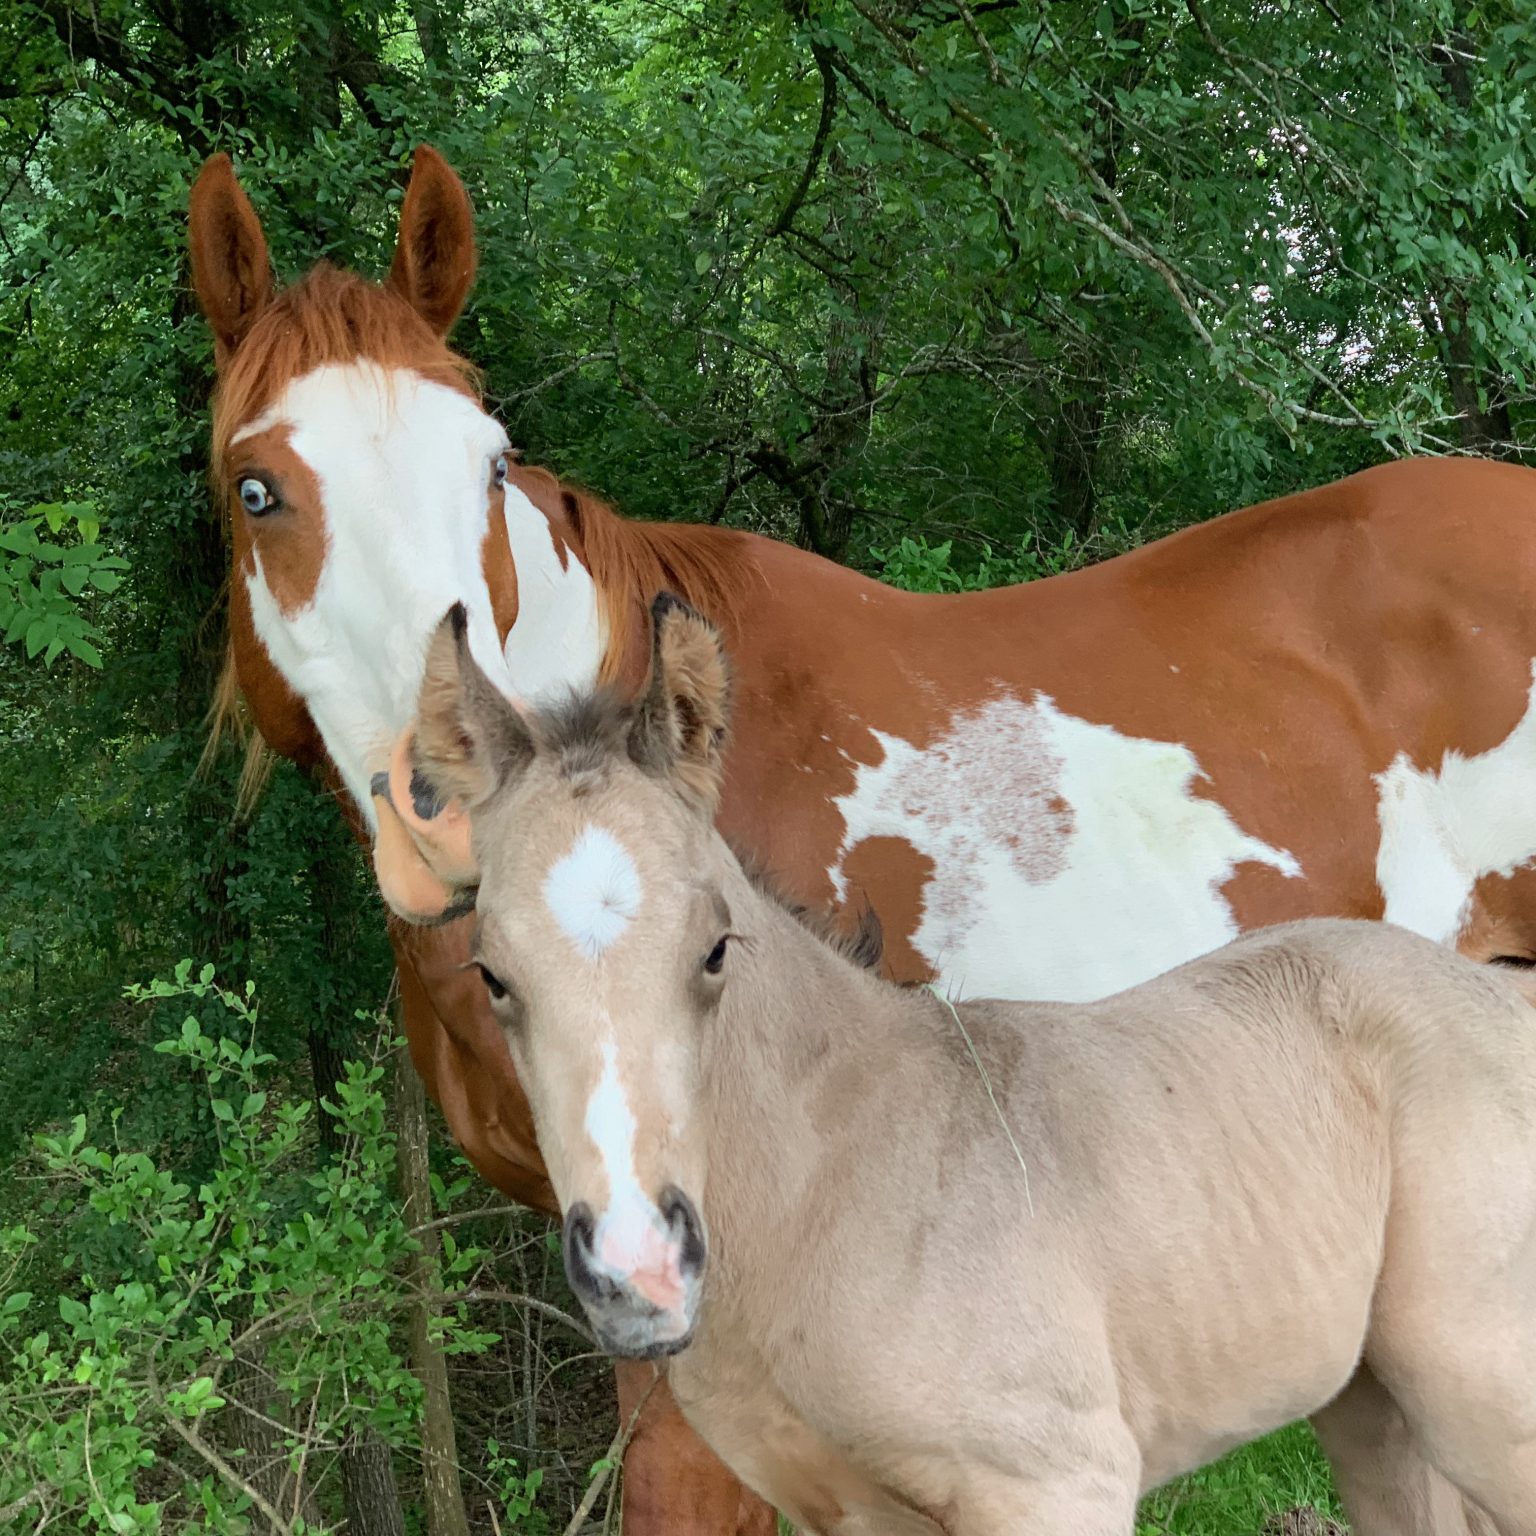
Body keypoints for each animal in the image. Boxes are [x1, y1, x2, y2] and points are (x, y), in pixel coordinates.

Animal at [414, 602, 1536, 1536]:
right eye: (492, 974)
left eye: (716, 948)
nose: (639, 1270)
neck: (830, 1190)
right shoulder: (854, 1516)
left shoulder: (1057, 1485)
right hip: (1376, 1407)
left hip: (1485, 1400)